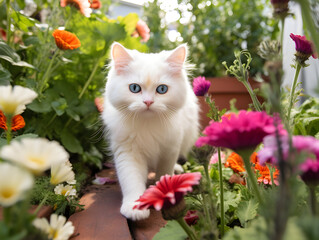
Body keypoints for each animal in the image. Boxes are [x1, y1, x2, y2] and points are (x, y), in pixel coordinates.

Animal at [102, 42, 200, 220]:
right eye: (134, 88)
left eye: (162, 89)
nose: (148, 102)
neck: (147, 124)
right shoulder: (128, 152)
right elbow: (131, 181)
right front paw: (134, 207)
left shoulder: (170, 148)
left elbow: (163, 173)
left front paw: (164, 193)